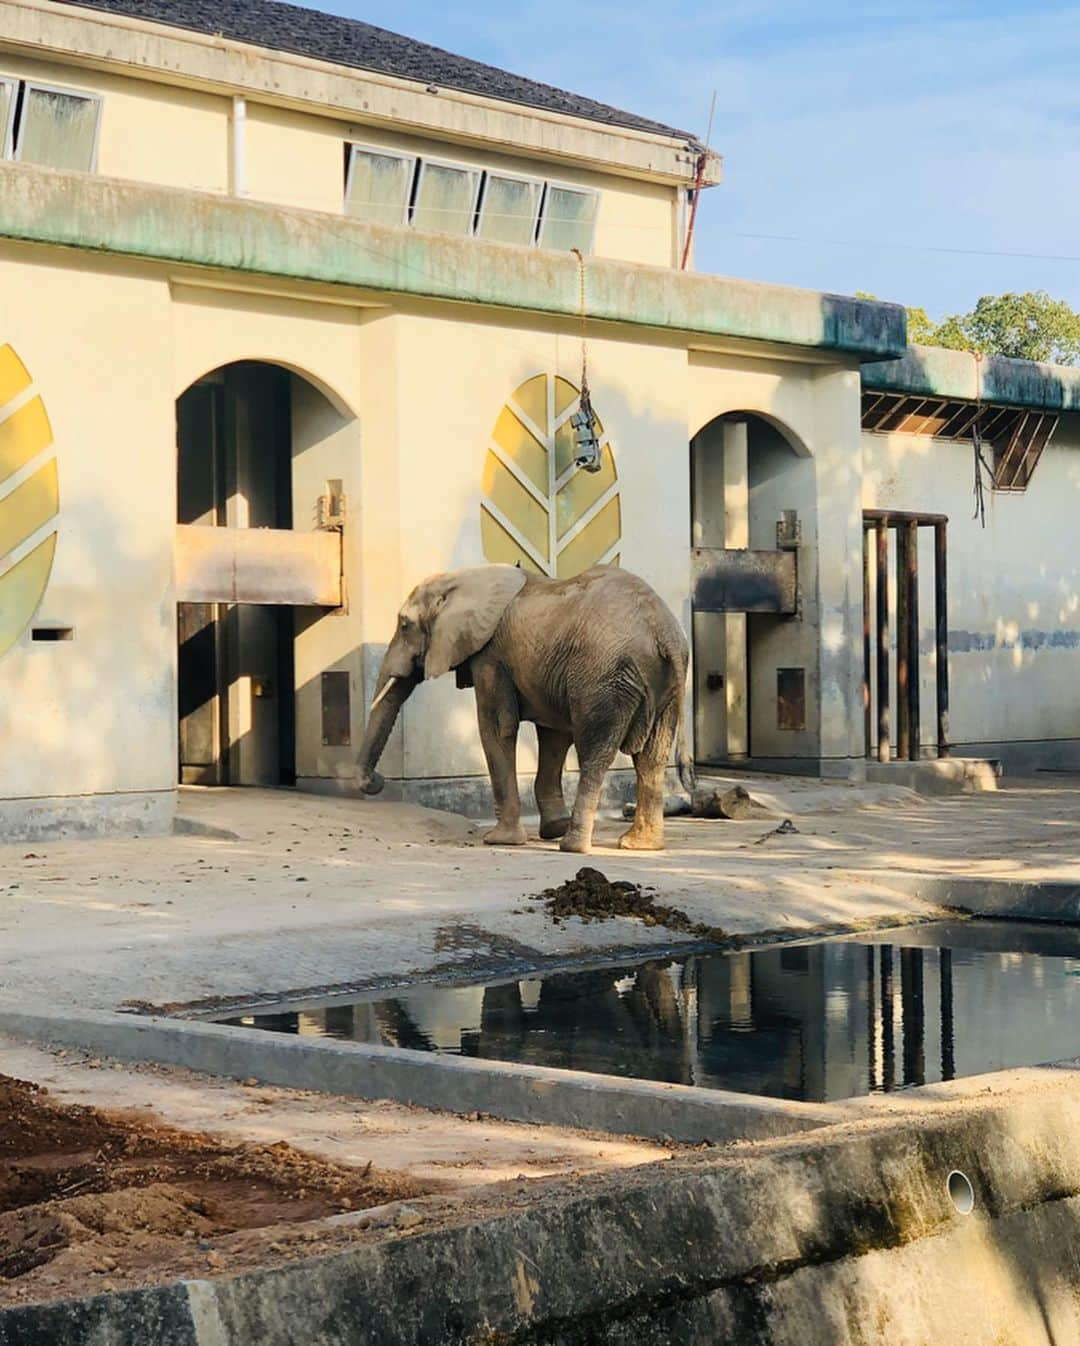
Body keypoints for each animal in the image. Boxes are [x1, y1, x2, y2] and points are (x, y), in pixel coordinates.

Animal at [350, 565, 689, 850]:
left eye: (404, 625)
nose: (376, 782)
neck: (466, 576)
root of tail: (664, 632)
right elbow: (554, 736)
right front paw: (552, 828)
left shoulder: (490, 657)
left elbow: (496, 727)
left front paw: (499, 840)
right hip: (666, 686)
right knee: (652, 757)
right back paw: (638, 845)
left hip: (604, 677)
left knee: (594, 751)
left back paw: (573, 846)